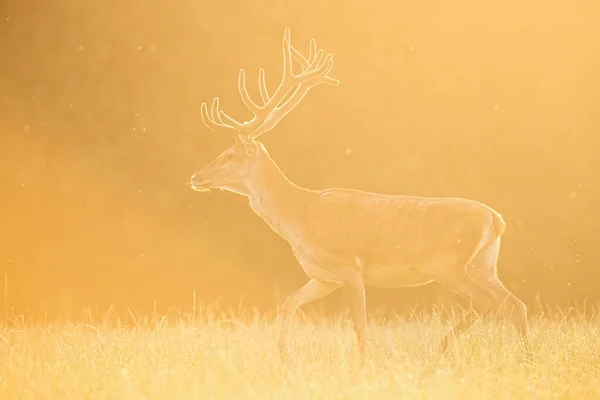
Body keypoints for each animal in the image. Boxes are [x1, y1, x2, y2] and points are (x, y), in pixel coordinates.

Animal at [190, 27, 532, 360]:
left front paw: (363, 362)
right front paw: (283, 354)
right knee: (514, 304)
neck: (300, 217)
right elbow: (288, 303)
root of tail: (496, 219)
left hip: (448, 263)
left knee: (488, 302)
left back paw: (446, 347)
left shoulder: (350, 266)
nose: (196, 177)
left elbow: (359, 324)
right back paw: (517, 354)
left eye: (230, 155)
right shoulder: (323, 276)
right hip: (483, 264)